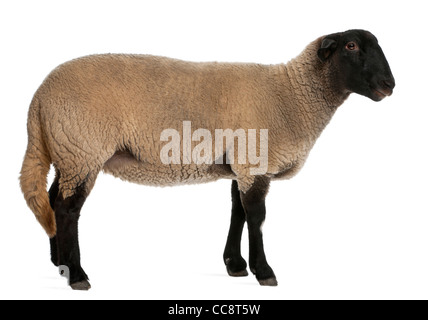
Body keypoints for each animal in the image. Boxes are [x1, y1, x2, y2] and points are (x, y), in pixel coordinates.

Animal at [20, 29, 394, 290]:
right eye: (351, 47)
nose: (389, 84)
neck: (291, 95)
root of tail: (38, 100)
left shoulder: (241, 164)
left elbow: (238, 212)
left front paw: (235, 265)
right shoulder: (254, 162)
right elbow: (257, 216)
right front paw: (264, 271)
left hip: (68, 152)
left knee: (52, 200)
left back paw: (59, 263)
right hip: (82, 150)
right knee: (67, 209)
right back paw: (77, 274)